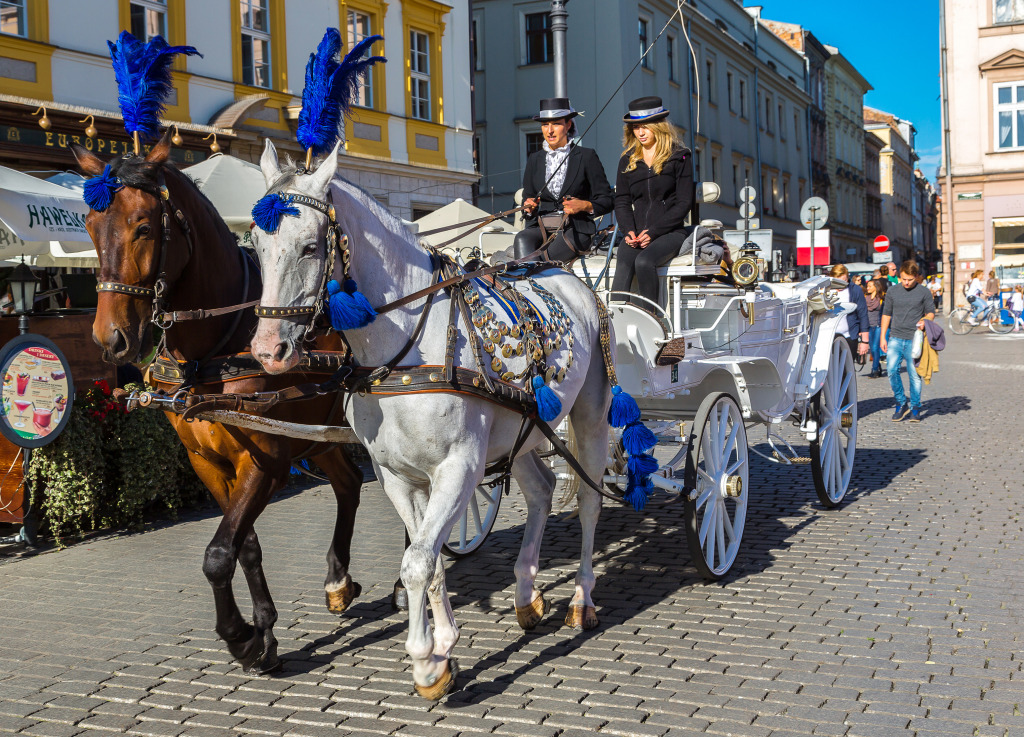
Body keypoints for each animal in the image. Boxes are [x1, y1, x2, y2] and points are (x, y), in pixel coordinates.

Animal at [71, 135, 364, 675]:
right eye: (89, 226)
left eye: (144, 226)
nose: (111, 339)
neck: (217, 348)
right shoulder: (207, 460)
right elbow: (242, 546)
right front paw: (263, 632)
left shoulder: (265, 462)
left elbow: (217, 554)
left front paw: (240, 635)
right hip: (320, 433)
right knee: (351, 484)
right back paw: (338, 580)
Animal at [248, 141, 614, 700]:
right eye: (256, 246)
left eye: (310, 247)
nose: (268, 350)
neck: (402, 350)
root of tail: (568, 276)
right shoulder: (396, 476)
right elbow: (432, 559)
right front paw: (442, 647)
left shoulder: (458, 469)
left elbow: (418, 561)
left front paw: (424, 661)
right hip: (519, 431)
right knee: (542, 489)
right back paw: (526, 593)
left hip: (589, 414)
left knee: (591, 502)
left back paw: (581, 600)